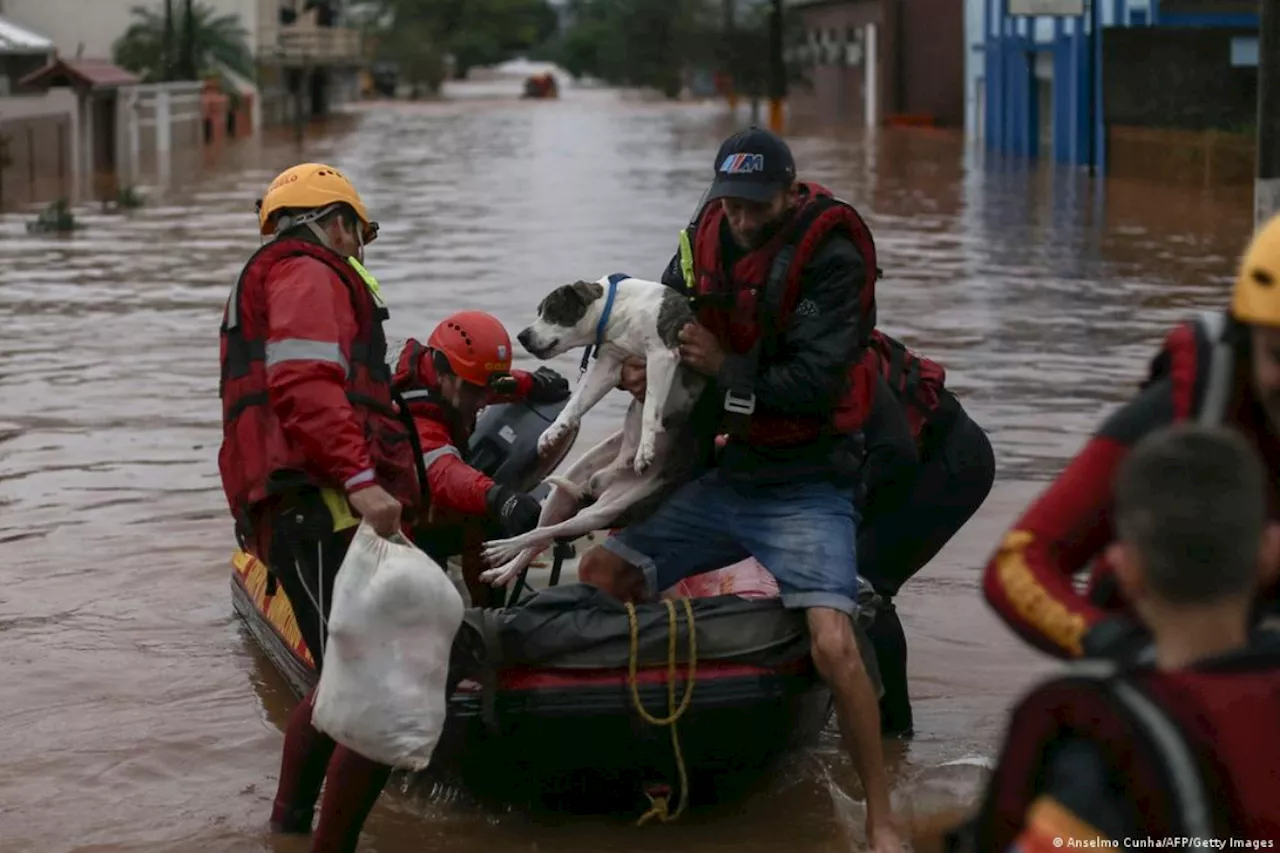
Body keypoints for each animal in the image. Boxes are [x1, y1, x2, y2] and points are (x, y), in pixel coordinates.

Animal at [481, 272, 706, 584]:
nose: (522, 336)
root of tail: (602, 480)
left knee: (543, 534)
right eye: (540, 311)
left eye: (552, 311)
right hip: (564, 494)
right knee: (538, 536)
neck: (619, 312)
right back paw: (503, 567)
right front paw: (553, 432)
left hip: (601, 511)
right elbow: (577, 402)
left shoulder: (661, 356)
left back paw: (502, 549)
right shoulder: (608, 366)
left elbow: (650, 406)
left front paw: (645, 450)